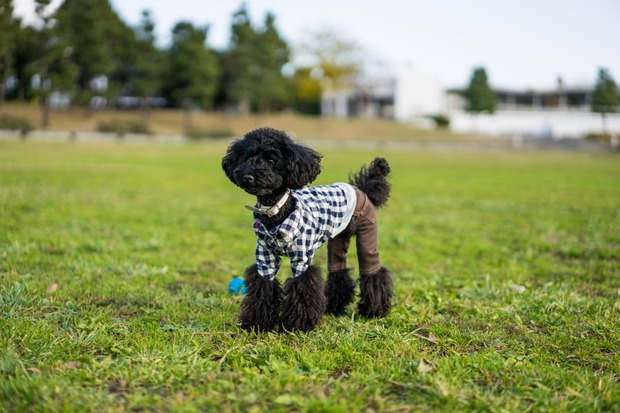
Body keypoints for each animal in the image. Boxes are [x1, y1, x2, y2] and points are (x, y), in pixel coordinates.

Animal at [220, 127, 390, 330]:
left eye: (271, 160)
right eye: (248, 157)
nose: (248, 177)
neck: (276, 210)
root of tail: (362, 189)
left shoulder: (302, 258)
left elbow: (302, 286)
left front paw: (298, 325)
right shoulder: (265, 257)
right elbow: (262, 286)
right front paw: (257, 322)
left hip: (367, 232)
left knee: (373, 272)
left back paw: (375, 310)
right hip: (338, 237)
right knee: (338, 272)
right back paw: (333, 307)